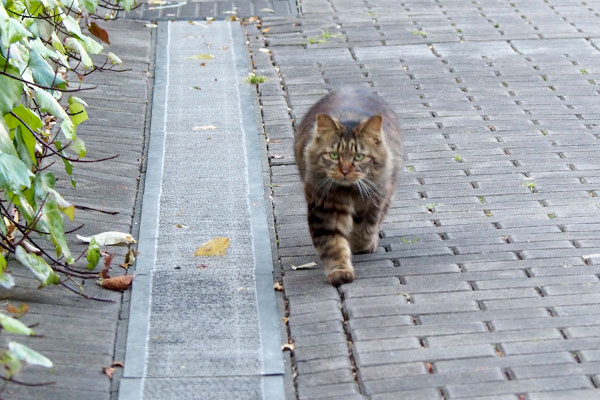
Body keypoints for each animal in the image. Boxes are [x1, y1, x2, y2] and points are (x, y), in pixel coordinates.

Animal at [294, 88, 404, 286]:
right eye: (333, 155)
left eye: (359, 157)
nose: (344, 170)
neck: (350, 192)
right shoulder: (325, 210)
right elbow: (334, 245)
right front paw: (340, 271)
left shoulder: (374, 202)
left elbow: (365, 230)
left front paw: (360, 245)